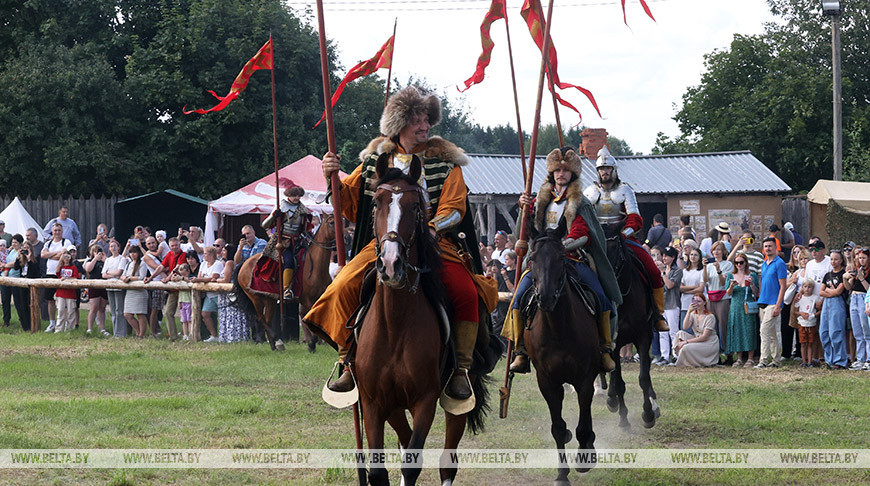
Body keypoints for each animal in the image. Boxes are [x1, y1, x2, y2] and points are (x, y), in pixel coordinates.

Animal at [356, 158, 490, 484]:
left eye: (416, 206)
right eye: (376, 203)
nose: (390, 264)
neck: (395, 326)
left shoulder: (425, 401)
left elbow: (412, 463)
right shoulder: (374, 402)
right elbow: (380, 469)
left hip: (456, 400)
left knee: (447, 461)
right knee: (405, 441)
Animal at [524, 226, 608, 484]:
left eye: (561, 258)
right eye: (532, 259)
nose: (545, 297)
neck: (558, 329)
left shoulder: (585, 378)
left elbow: (583, 422)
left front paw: (585, 457)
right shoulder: (547, 381)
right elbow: (558, 428)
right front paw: (562, 473)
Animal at [608, 222, 660, 428]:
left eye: (615, 246)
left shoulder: (644, 337)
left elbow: (644, 378)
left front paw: (648, 414)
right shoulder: (614, 344)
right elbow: (619, 382)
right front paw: (623, 418)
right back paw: (611, 399)